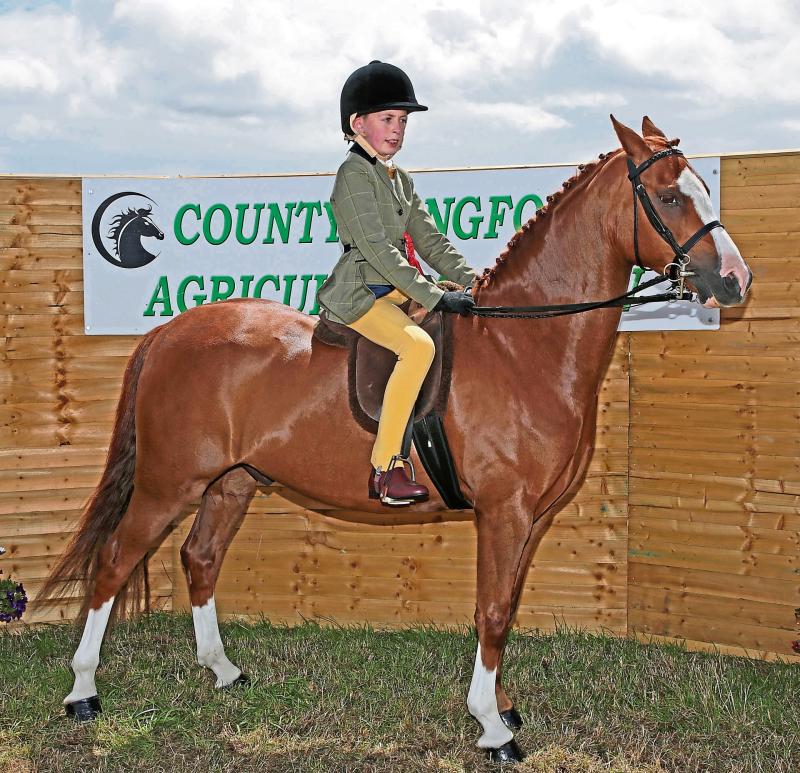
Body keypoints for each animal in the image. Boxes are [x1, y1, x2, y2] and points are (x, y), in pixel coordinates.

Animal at [40, 116, 752, 762]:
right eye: (669, 196)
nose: (736, 281)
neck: (523, 345)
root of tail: (168, 332)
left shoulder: (530, 518)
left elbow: (508, 605)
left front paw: (505, 710)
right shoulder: (505, 512)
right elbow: (492, 610)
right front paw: (492, 728)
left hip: (230, 484)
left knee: (201, 557)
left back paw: (223, 672)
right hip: (169, 483)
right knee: (114, 561)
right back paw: (83, 693)